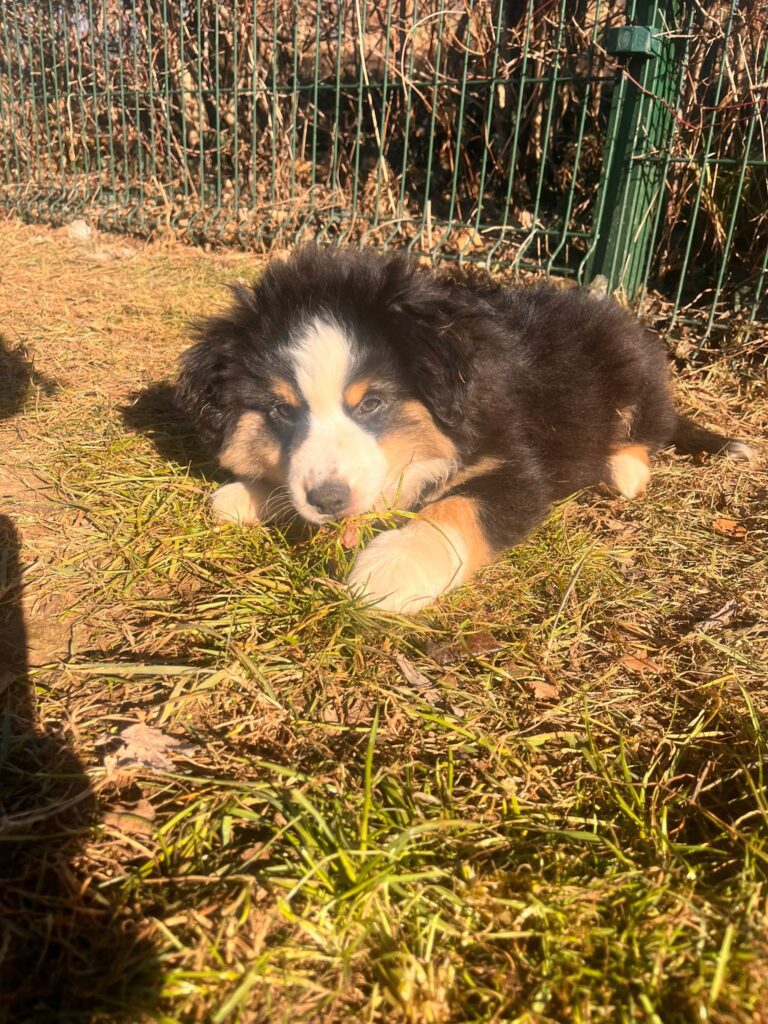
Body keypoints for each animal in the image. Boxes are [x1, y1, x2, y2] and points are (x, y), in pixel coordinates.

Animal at [176, 246, 753, 610]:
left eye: (373, 403)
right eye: (281, 411)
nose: (328, 500)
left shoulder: (517, 465)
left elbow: (456, 506)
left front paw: (389, 568)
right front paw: (246, 495)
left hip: (633, 370)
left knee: (649, 427)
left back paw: (625, 471)